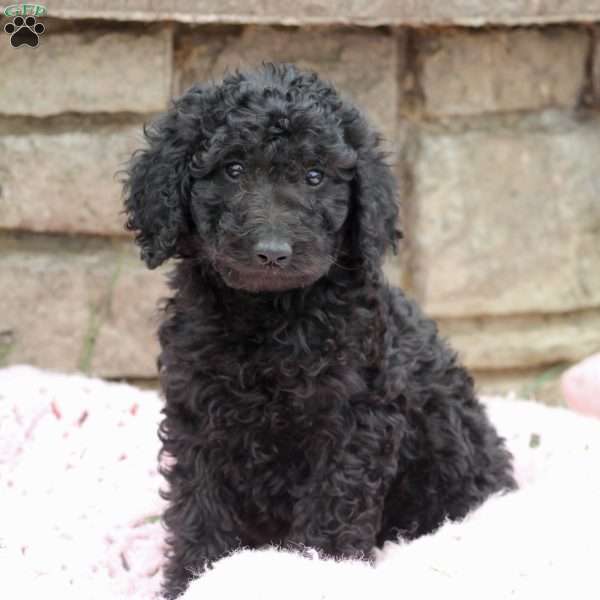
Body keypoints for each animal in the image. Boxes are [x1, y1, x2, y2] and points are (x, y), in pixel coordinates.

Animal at [123, 63, 516, 596]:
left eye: (315, 176)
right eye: (233, 169)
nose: (273, 252)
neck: (271, 318)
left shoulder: (353, 422)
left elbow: (334, 509)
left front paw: (320, 572)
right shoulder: (199, 415)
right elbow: (200, 507)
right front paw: (195, 578)